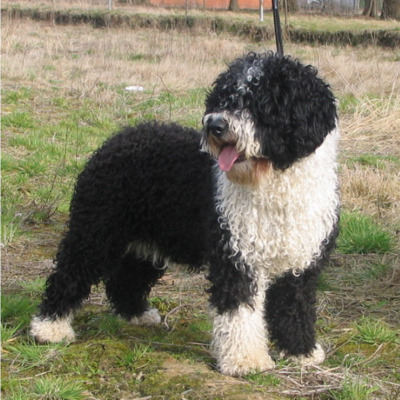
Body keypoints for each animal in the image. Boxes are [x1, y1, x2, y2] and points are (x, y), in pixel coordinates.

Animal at [30, 51, 340, 376]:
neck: (273, 186)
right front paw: (244, 360)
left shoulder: (301, 264)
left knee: (125, 279)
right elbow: (239, 313)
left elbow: (296, 308)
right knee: (69, 272)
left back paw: (135, 313)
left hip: (146, 239)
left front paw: (300, 351)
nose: (215, 125)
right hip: (96, 230)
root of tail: (121, 136)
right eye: (223, 97)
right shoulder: (235, 257)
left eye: (260, 102)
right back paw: (49, 327)